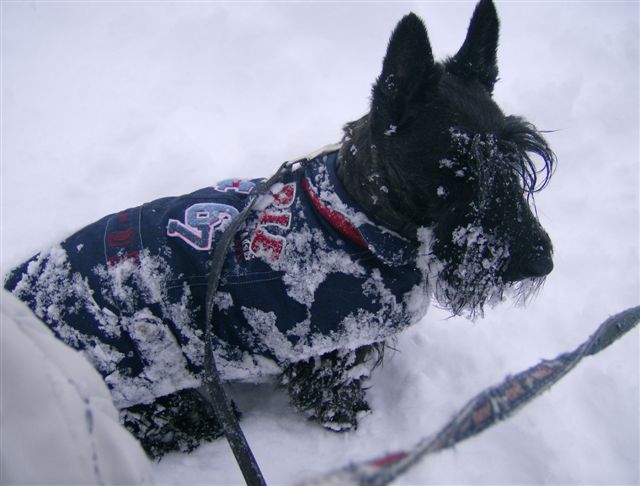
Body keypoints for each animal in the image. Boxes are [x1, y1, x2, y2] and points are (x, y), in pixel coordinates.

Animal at [3, 0, 556, 458]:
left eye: (517, 157)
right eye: (455, 170)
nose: (541, 259)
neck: (354, 217)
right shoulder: (328, 352)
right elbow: (333, 396)